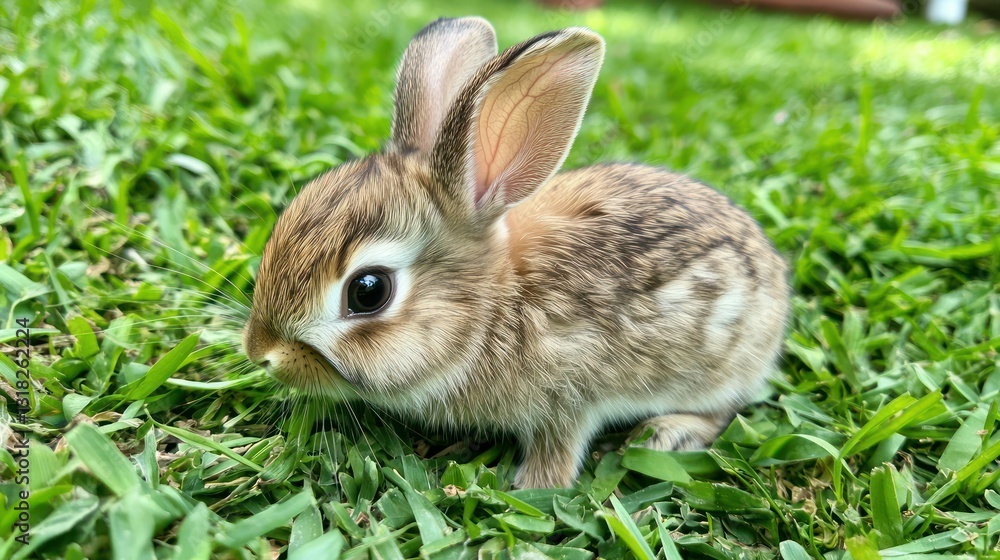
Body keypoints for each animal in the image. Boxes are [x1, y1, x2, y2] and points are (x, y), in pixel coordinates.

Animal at [242, 17, 790, 489]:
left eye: (368, 291)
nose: (261, 353)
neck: (492, 308)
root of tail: (775, 277)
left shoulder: (572, 393)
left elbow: (560, 444)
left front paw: (533, 487)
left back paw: (666, 433)